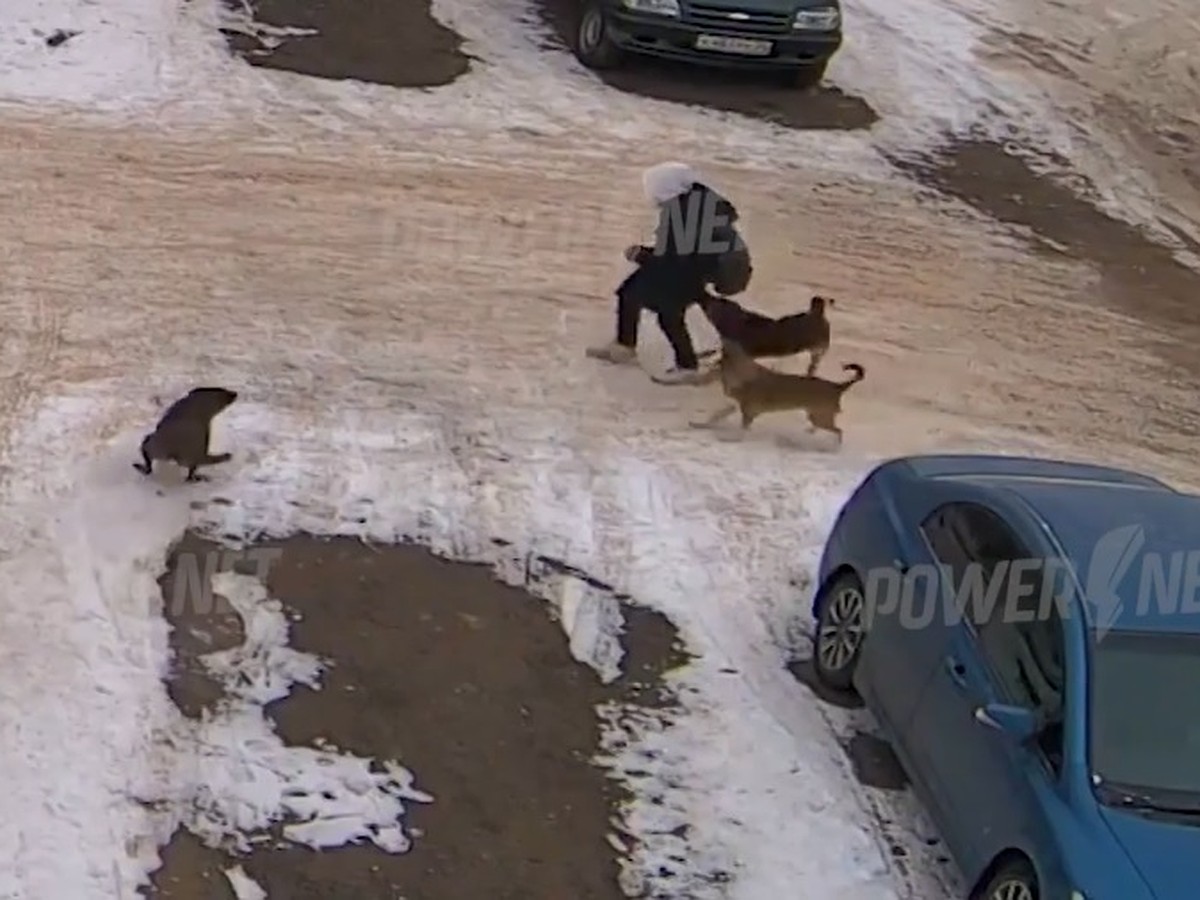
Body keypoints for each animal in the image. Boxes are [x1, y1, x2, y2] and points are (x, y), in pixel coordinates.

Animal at [686, 340, 864, 446]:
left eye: (715, 355)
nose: (698, 359)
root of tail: (838, 386)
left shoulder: (748, 412)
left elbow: (740, 430)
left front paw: (732, 439)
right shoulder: (734, 407)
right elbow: (714, 418)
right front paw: (699, 425)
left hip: (821, 417)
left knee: (838, 431)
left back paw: (834, 446)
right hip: (815, 415)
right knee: (825, 427)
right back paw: (811, 432)